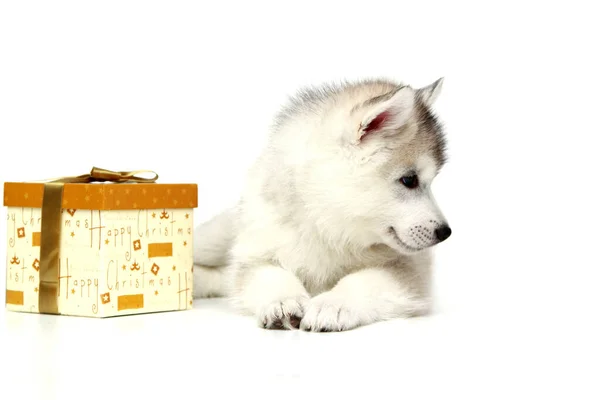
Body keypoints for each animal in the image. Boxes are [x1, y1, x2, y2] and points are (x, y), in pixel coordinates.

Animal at [195, 77, 452, 332]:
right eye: (409, 180)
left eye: (430, 181)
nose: (445, 232)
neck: (330, 228)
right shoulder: (256, 257)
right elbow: (270, 275)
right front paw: (283, 301)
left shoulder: (408, 270)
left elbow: (364, 279)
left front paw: (334, 304)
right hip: (216, 239)